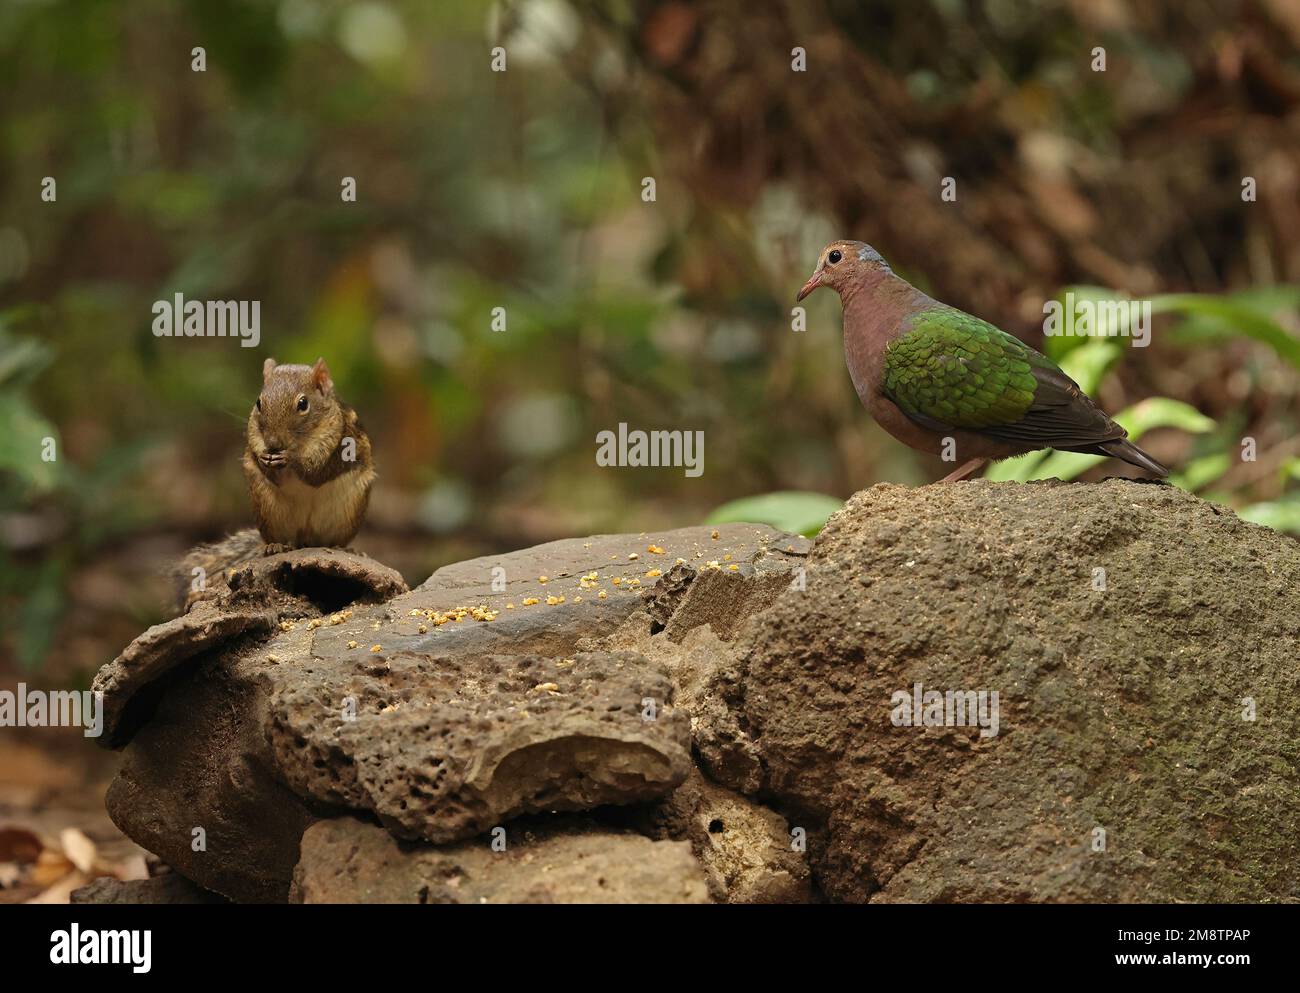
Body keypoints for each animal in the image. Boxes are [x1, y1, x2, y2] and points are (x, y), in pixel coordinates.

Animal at [176, 357, 376, 610]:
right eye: (258, 402)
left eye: (303, 404)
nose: (272, 443)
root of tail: (305, 541)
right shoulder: (255, 436)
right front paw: (265, 459)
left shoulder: (340, 442)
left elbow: (317, 472)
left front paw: (291, 459)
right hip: (268, 511)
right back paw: (275, 546)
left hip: (348, 512)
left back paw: (343, 547)